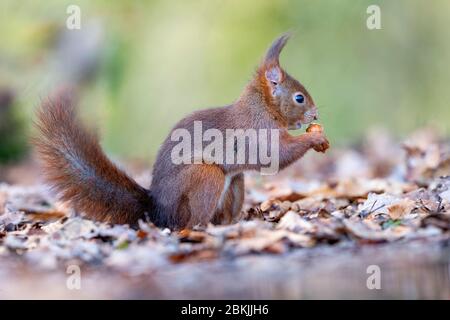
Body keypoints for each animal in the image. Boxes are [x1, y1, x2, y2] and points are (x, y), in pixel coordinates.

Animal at [34, 34, 326, 230]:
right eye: (299, 98)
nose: (316, 115)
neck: (263, 107)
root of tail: (158, 212)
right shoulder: (258, 132)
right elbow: (277, 155)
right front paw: (315, 137)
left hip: (234, 182)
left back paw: (236, 221)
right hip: (205, 177)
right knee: (191, 222)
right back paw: (204, 227)